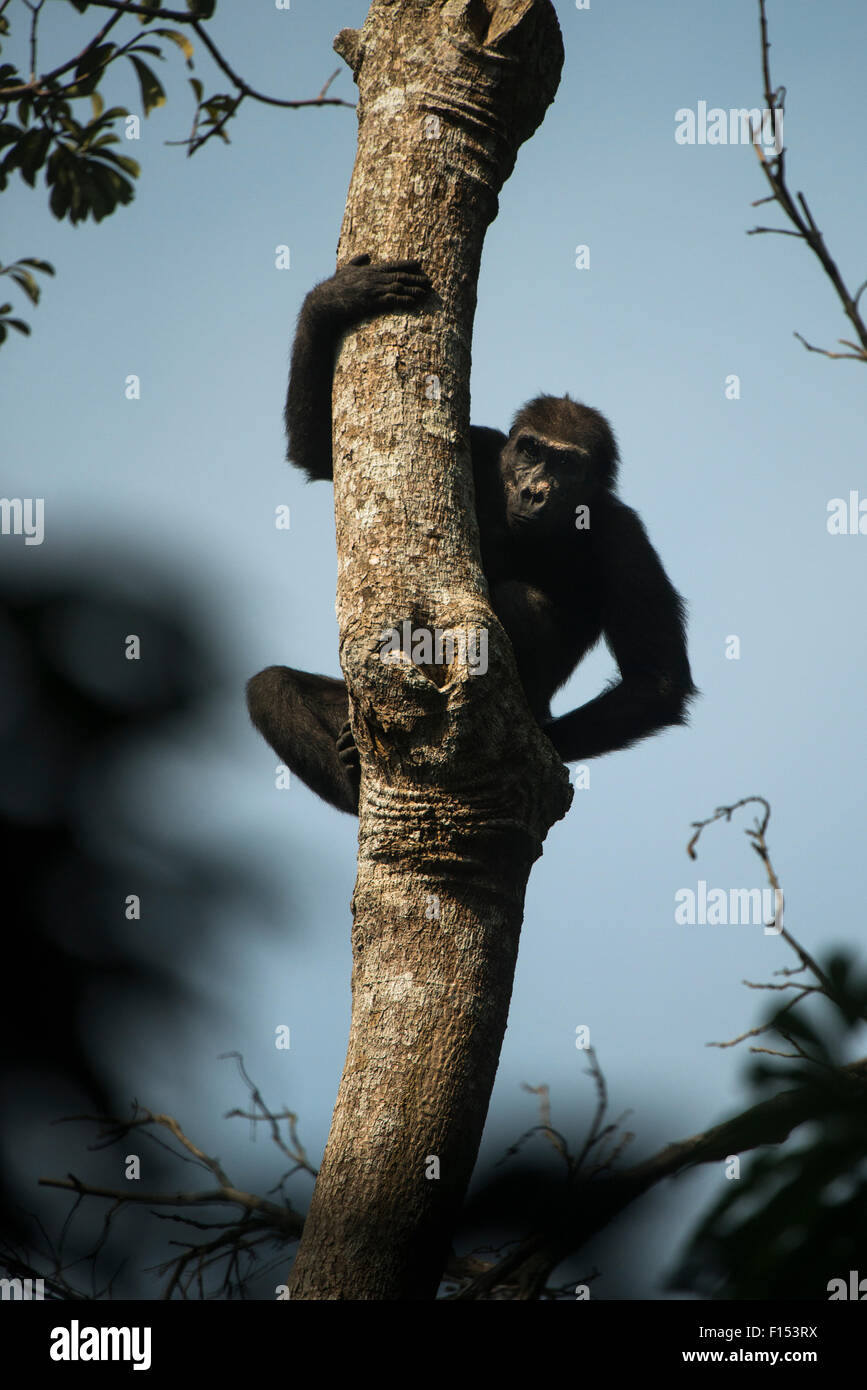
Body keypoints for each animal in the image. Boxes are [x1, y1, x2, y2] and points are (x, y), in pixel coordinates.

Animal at [247, 258, 694, 811]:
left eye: (566, 464)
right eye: (530, 450)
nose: (534, 490)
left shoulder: (625, 539)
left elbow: (657, 680)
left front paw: (545, 749)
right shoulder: (480, 447)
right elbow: (320, 454)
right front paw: (335, 299)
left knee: (523, 604)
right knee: (271, 690)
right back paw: (352, 773)